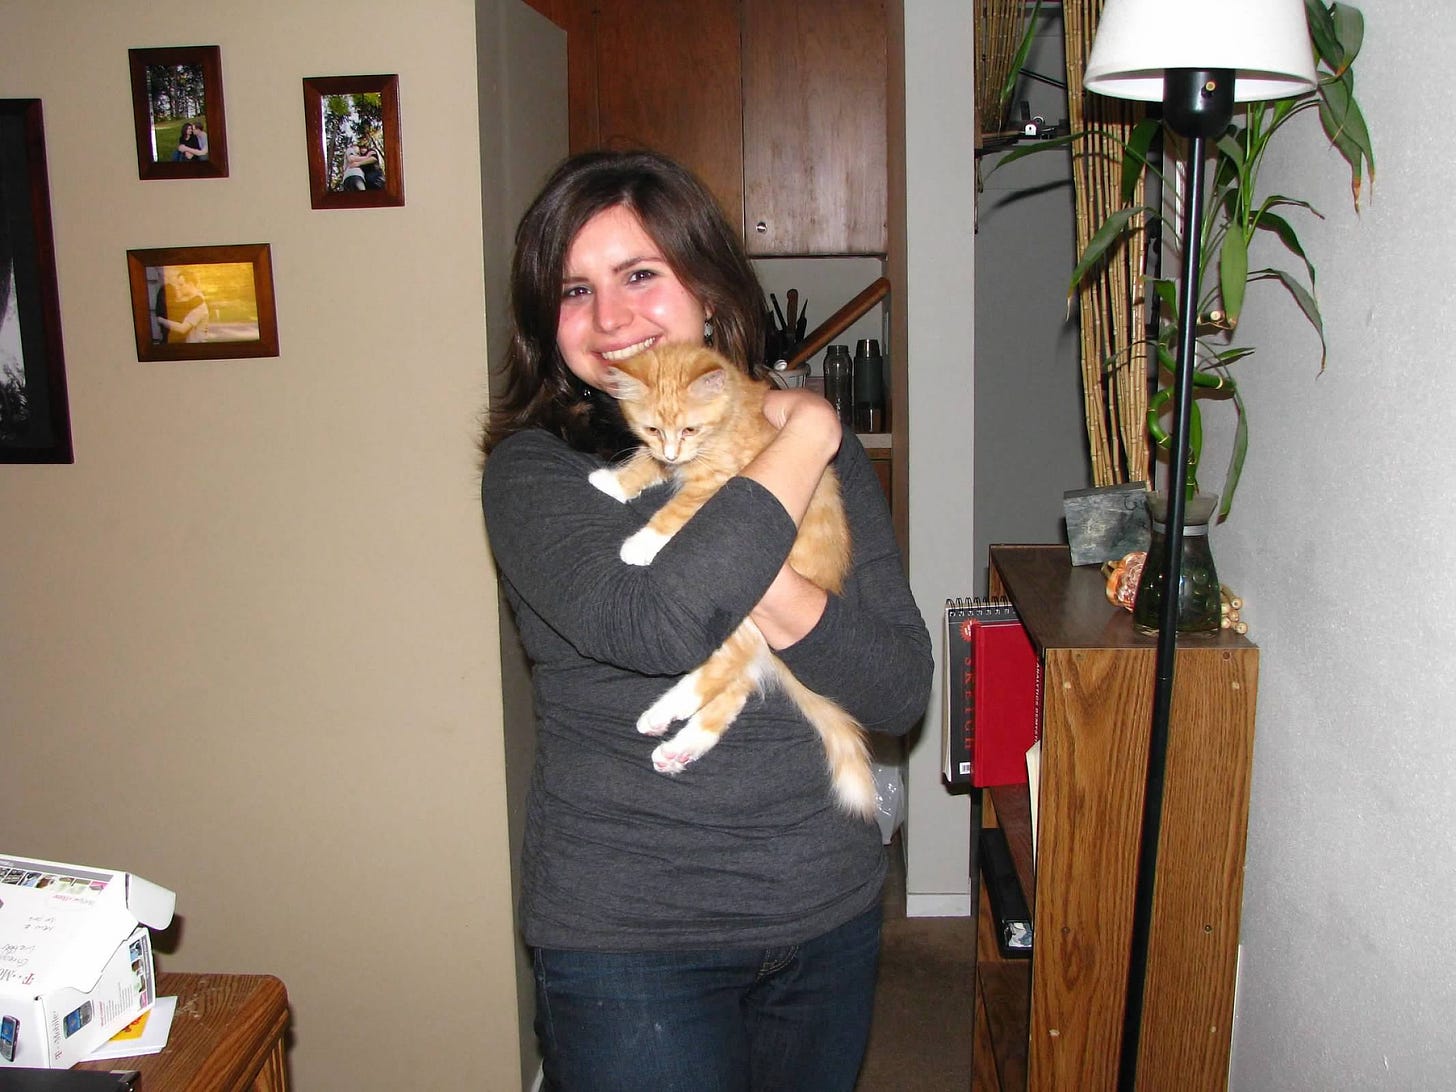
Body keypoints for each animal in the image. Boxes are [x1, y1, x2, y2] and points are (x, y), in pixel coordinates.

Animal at [585, 343, 867, 821]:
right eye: (653, 428)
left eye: (690, 428)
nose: (673, 452)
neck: (730, 416)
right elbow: (647, 462)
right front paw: (615, 481)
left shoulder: (718, 482)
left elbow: (676, 512)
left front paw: (641, 544)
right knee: (734, 687)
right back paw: (676, 745)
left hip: (748, 617)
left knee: (721, 671)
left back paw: (666, 712)